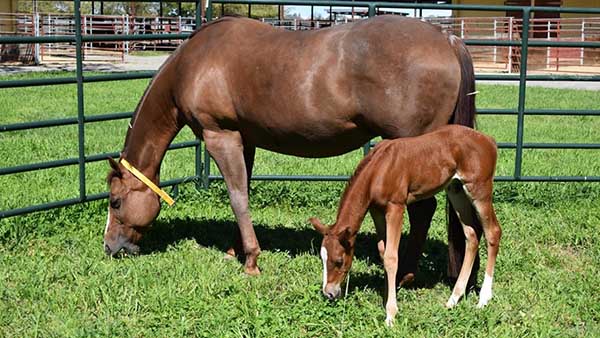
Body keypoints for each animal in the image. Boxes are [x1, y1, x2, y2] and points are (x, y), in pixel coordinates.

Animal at [104, 15, 478, 280]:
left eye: (115, 201)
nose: (111, 247)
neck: (195, 63)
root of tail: (446, 39)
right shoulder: (245, 140)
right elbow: (243, 193)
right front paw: (237, 249)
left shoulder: (220, 136)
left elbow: (237, 196)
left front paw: (251, 261)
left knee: (423, 210)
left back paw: (404, 274)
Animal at [310, 125, 502, 326]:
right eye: (322, 258)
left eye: (339, 261)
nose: (329, 293)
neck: (379, 169)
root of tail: (489, 141)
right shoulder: (377, 211)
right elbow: (383, 251)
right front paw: (387, 297)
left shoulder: (396, 207)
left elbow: (391, 257)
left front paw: (391, 314)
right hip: (456, 189)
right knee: (471, 235)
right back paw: (453, 299)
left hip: (479, 189)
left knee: (493, 232)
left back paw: (483, 299)